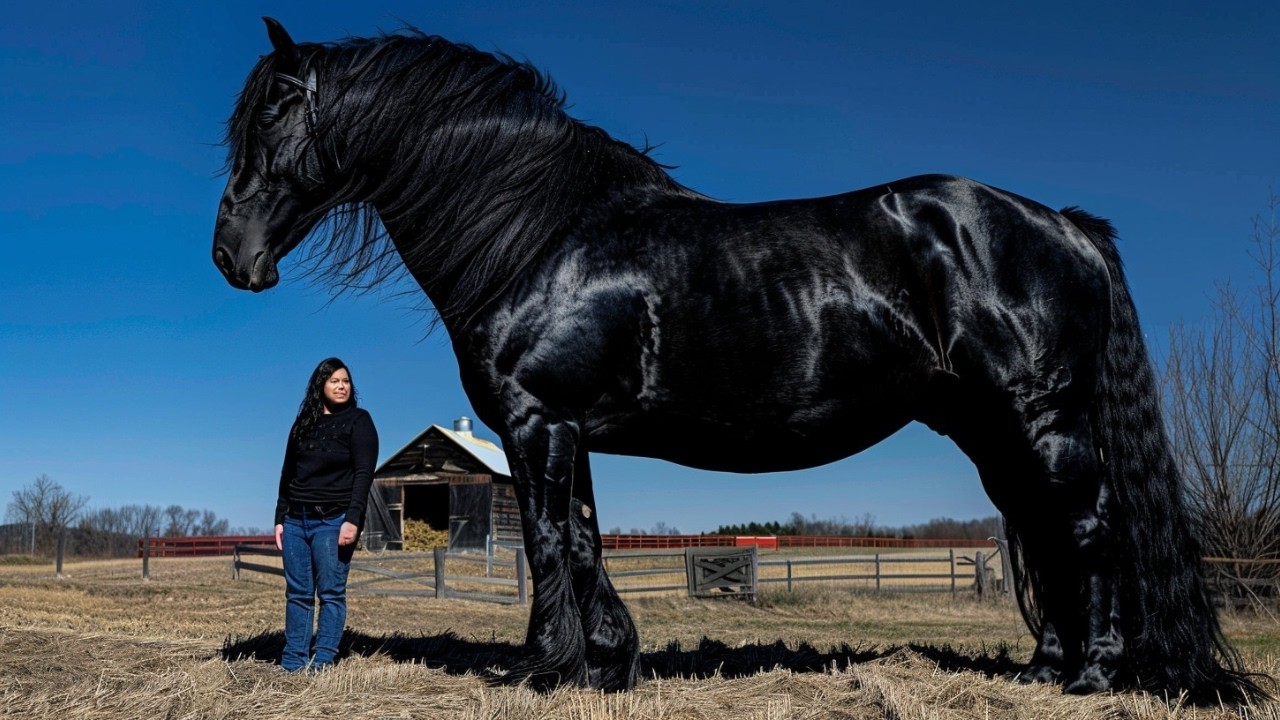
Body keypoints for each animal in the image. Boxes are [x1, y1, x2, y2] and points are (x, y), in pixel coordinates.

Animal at [212, 18, 1263, 703]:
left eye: (273, 116)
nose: (232, 255)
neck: (544, 233)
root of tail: (1065, 226)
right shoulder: (565, 430)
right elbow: (585, 541)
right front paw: (611, 662)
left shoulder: (537, 421)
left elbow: (548, 541)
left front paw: (545, 670)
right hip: (991, 429)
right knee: (1045, 531)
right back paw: (1046, 670)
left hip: (1039, 417)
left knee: (1085, 528)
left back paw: (1094, 676)